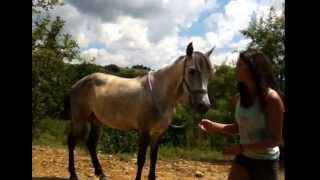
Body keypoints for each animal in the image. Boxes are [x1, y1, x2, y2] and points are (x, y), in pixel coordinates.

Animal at [65, 42, 215, 180]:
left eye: (209, 73)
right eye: (191, 71)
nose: (204, 105)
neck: (159, 94)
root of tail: (78, 83)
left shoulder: (158, 133)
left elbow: (153, 157)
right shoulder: (144, 131)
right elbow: (142, 159)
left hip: (96, 121)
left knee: (91, 144)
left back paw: (101, 174)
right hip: (79, 120)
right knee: (72, 142)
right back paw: (73, 174)